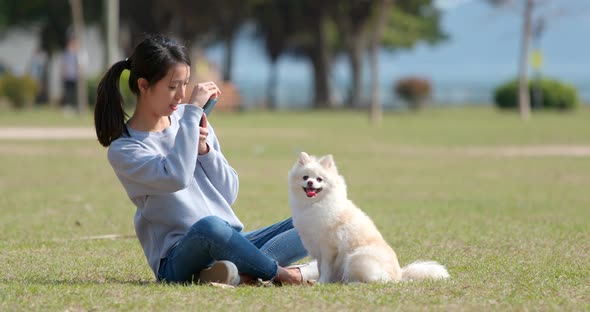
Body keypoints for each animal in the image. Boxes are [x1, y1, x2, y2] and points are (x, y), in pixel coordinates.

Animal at [290, 152, 450, 284]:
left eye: (319, 179)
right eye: (305, 177)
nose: (310, 182)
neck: (314, 204)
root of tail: (399, 275)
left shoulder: (328, 248)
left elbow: (325, 268)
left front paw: (321, 282)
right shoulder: (316, 248)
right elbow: (319, 267)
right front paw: (320, 281)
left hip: (355, 258)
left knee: (378, 281)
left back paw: (353, 283)